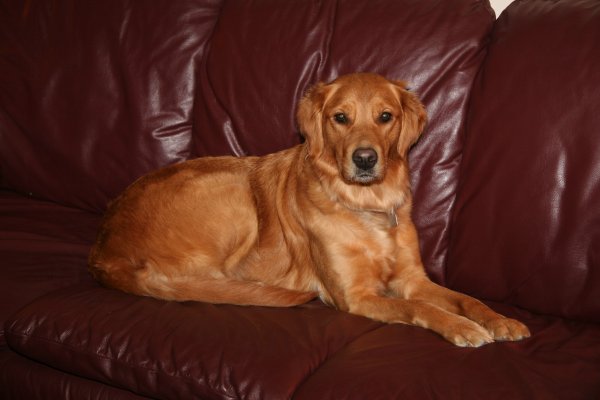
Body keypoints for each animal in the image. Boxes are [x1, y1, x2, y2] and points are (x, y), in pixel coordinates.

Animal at [89, 72, 528, 346]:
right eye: (341, 118)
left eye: (385, 116)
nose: (365, 159)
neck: (366, 208)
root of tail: (103, 252)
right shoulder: (356, 296)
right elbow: (418, 307)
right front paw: (461, 328)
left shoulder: (412, 278)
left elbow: (463, 298)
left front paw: (498, 320)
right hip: (235, 193)